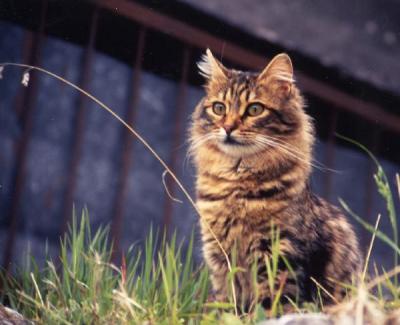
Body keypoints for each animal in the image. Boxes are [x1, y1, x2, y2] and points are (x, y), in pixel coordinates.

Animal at [189, 48, 360, 312]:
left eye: (254, 110)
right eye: (219, 108)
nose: (227, 128)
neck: (236, 183)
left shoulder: (279, 254)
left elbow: (270, 305)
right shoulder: (219, 256)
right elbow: (225, 304)